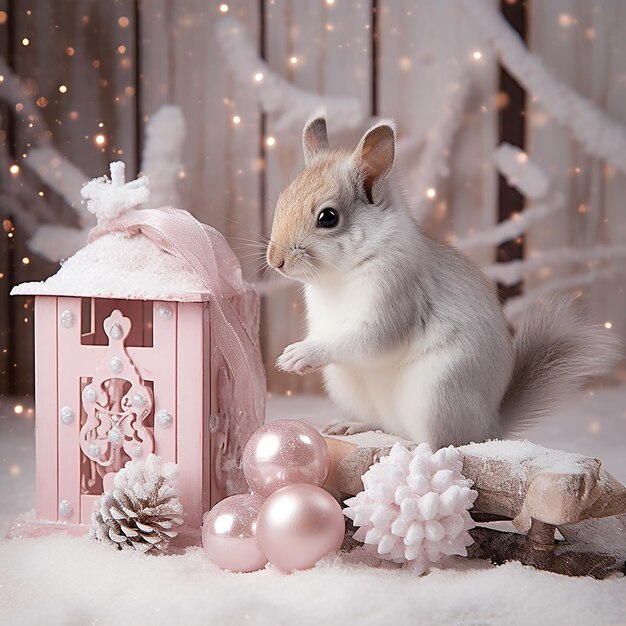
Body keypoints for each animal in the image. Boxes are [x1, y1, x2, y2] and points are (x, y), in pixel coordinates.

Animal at [264, 114, 620, 446]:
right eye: (280, 201)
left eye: (328, 217)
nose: (275, 261)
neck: (338, 275)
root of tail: (489, 427)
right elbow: (325, 334)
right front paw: (293, 353)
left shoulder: (396, 297)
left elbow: (369, 340)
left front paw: (301, 355)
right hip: (349, 388)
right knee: (385, 424)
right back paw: (354, 425)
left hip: (436, 393)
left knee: (441, 443)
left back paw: (409, 446)